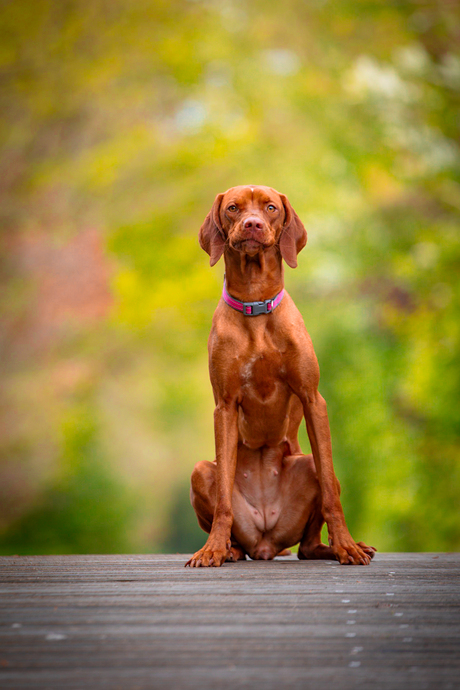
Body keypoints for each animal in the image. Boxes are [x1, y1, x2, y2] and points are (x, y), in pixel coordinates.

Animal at [185, 187, 376, 564]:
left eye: (270, 207)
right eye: (233, 208)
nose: (253, 224)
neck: (256, 304)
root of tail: (267, 541)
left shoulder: (312, 398)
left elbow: (330, 490)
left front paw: (346, 545)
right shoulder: (224, 406)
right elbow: (223, 500)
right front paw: (212, 548)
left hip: (309, 469)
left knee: (308, 543)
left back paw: (338, 547)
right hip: (201, 472)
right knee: (240, 532)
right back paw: (229, 549)